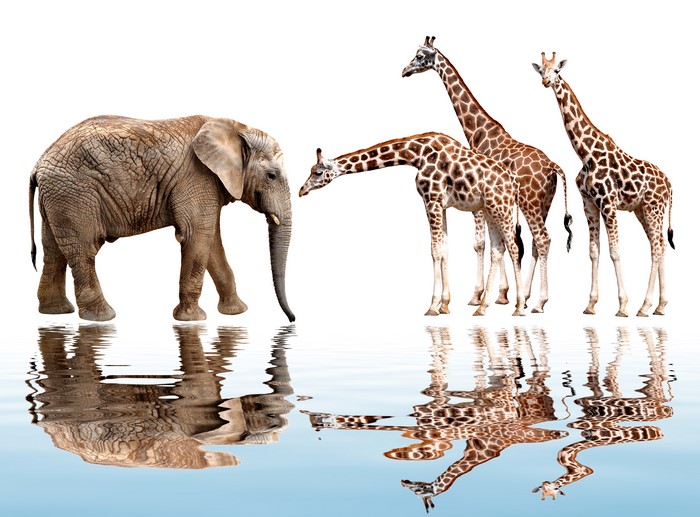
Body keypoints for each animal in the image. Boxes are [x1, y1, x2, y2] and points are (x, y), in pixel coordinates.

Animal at [28, 115, 295, 322]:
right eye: (271, 176)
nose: (291, 320)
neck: (237, 128)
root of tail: (39, 163)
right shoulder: (196, 177)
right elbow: (196, 236)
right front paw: (192, 320)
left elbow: (212, 242)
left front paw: (236, 312)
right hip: (74, 194)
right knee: (84, 250)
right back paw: (102, 318)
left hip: (58, 198)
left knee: (53, 251)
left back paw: (55, 312)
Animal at [299, 132, 525, 316]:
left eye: (317, 172)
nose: (301, 190)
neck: (417, 155)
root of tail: (513, 182)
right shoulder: (441, 205)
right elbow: (444, 250)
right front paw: (445, 305)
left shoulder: (431, 200)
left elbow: (435, 251)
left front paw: (433, 306)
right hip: (489, 209)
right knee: (498, 249)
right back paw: (482, 307)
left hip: (500, 207)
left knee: (513, 247)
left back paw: (519, 307)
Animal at [403, 36, 572, 314]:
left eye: (419, 56)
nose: (404, 71)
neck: (478, 132)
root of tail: (553, 167)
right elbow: (498, 243)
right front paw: (501, 295)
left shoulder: (479, 203)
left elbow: (481, 243)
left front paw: (479, 296)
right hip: (544, 203)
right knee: (537, 243)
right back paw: (528, 297)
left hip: (530, 203)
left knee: (543, 239)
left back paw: (537, 302)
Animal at [533, 53, 675, 317]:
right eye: (541, 71)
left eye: (557, 70)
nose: (546, 82)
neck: (586, 154)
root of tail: (669, 184)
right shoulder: (588, 203)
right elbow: (593, 251)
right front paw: (590, 304)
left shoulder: (608, 203)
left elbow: (615, 251)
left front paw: (623, 305)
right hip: (643, 210)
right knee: (659, 244)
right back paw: (660, 306)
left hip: (653, 208)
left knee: (657, 247)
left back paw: (644, 306)